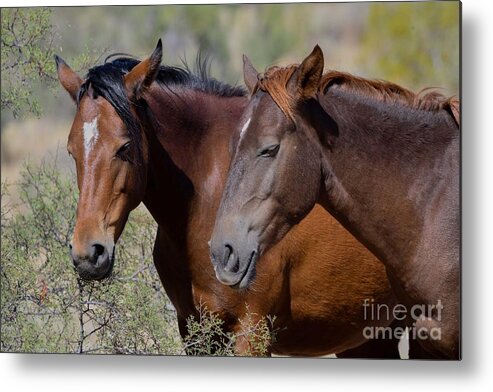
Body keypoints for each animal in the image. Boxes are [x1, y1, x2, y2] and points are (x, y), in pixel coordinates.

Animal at [56, 40, 404, 358]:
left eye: (124, 147)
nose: (88, 253)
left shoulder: (251, 332)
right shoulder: (195, 333)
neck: (210, 194)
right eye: (71, 150)